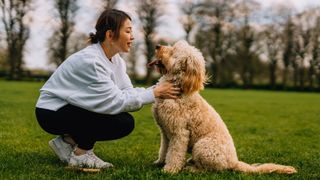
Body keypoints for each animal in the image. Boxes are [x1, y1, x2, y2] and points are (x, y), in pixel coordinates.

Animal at [148, 40, 298, 174]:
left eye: (173, 51)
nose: (157, 46)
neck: (179, 88)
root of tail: (234, 162)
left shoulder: (179, 133)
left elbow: (174, 153)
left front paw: (170, 170)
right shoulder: (165, 132)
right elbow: (164, 149)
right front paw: (160, 162)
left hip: (203, 146)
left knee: (210, 169)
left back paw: (191, 168)